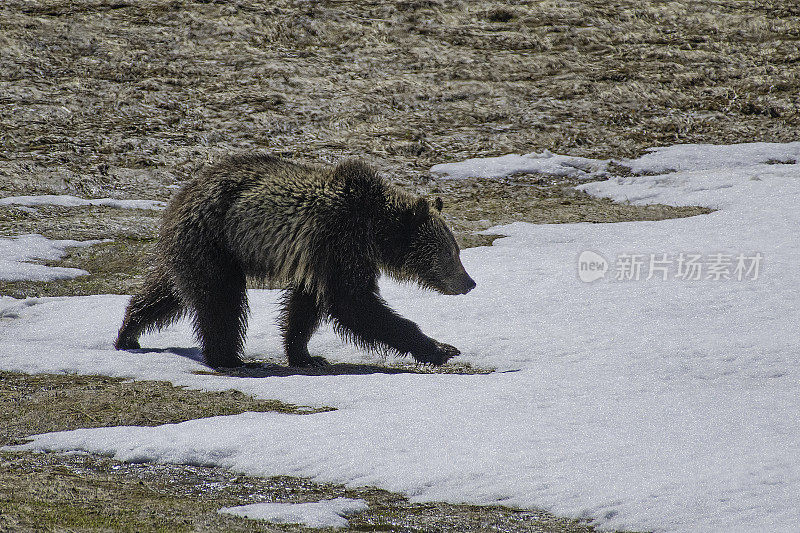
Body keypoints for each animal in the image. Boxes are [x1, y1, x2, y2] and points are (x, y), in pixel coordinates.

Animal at [114, 156, 476, 368]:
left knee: (167, 291)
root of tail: (180, 196)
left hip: (197, 248)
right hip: (215, 241)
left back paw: (129, 331)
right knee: (221, 301)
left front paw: (304, 354)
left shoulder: (322, 258)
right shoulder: (339, 241)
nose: (470, 282)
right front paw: (439, 348)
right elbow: (354, 303)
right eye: (451, 252)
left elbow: (305, 306)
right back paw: (230, 358)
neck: (374, 229)